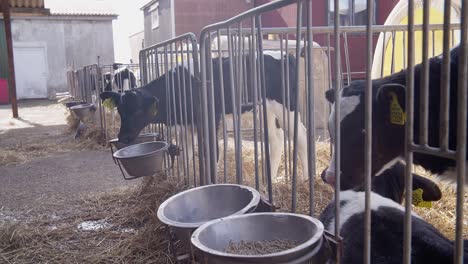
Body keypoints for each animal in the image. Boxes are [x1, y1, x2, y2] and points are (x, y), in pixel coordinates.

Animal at [98, 53, 308, 180]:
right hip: (266, 111)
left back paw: (306, 178)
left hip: (285, 106)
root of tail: (285, 56)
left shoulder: (210, 120)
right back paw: (268, 179)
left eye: (138, 111)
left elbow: (212, 152)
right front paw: (184, 181)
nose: (123, 137)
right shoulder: (186, 126)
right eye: (120, 111)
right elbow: (186, 156)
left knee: (301, 136)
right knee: (277, 140)